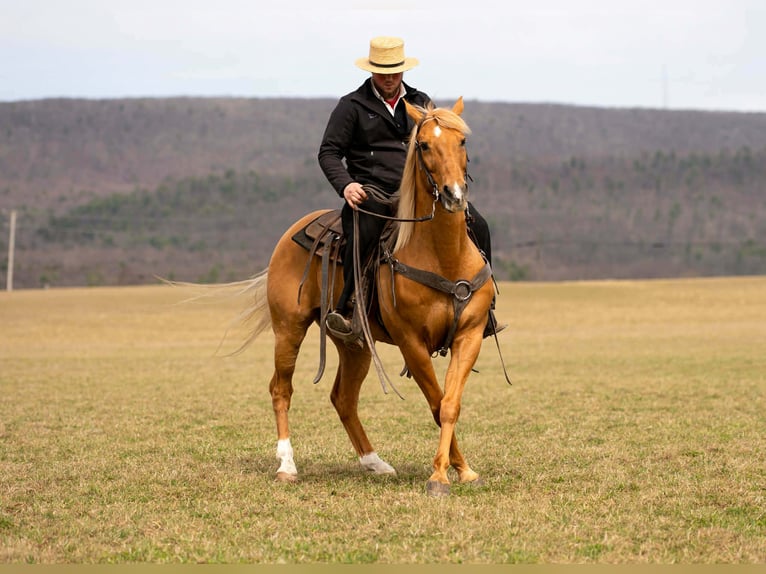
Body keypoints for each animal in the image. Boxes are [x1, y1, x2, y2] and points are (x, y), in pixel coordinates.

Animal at [233, 97, 495, 496]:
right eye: (423, 145)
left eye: (462, 141)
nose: (454, 195)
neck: (443, 255)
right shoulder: (411, 343)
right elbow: (436, 404)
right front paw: (439, 475)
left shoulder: (470, 335)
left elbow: (450, 404)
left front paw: (461, 470)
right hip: (289, 329)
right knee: (281, 389)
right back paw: (287, 465)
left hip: (354, 345)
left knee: (343, 398)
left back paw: (374, 462)